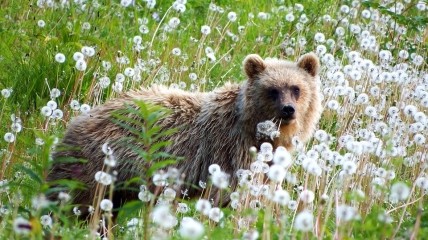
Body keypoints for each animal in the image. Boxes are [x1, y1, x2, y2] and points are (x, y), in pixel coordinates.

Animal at [46, 54, 320, 210]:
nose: (288, 110)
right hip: (97, 166)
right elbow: (229, 194)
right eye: (273, 90)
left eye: (296, 88)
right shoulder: (231, 151)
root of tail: (74, 123)